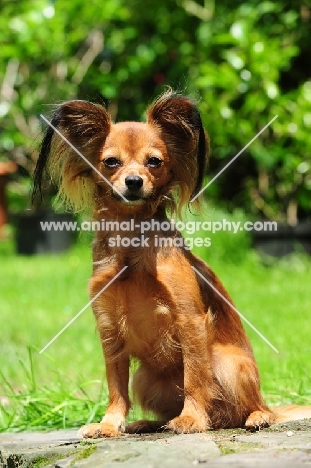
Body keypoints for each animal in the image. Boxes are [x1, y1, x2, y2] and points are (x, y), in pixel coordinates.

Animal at [32, 89, 311, 436]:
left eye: (154, 161)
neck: (132, 242)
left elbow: (194, 377)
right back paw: (147, 423)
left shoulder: (190, 319)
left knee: (252, 407)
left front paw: (191, 419)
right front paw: (110, 424)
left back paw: (254, 417)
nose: (134, 181)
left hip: (228, 362)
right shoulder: (109, 329)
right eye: (111, 162)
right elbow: (115, 386)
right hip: (145, 377)